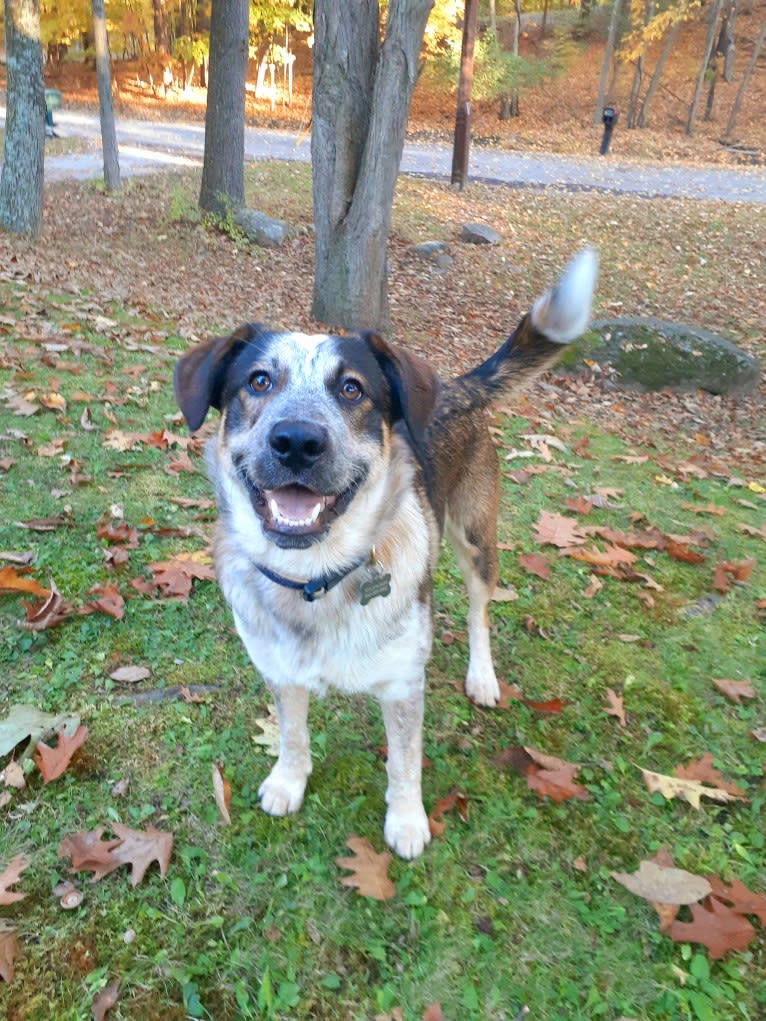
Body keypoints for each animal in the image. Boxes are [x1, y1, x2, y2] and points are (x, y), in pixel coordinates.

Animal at [175, 251, 600, 857]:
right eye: (258, 381)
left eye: (352, 390)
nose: (297, 441)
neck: (316, 579)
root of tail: (454, 385)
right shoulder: (279, 669)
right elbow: (292, 733)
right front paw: (288, 782)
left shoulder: (402, 686)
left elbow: (405, 763)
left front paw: (406, 821)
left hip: (476, 537)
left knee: (479, 611)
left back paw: (482, 676)